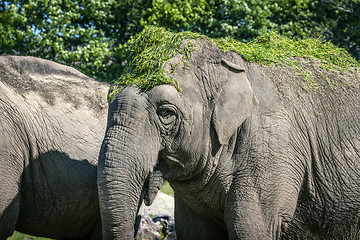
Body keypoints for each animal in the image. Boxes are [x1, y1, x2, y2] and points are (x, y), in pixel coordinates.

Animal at [97, 32, 360, 240]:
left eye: (165, 112)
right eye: (109, 98)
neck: (230, 60)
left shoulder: (274, 149)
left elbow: (251, 229)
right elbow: (196, 233)